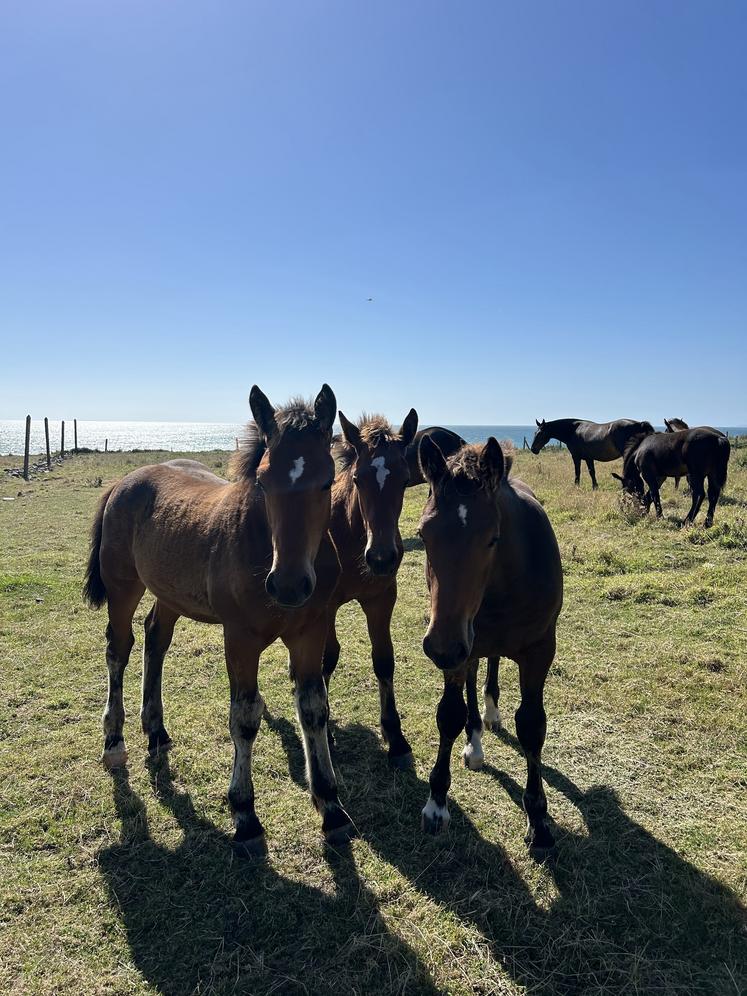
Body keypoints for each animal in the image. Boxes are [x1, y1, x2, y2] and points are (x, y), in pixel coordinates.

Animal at [326, 408, 424, 768]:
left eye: (405, 479)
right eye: (358, 479)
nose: (381, 558)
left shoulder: (382, 598)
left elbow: (384, 659)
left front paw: (396, 738)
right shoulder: (324, 606)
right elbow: (327, 657)